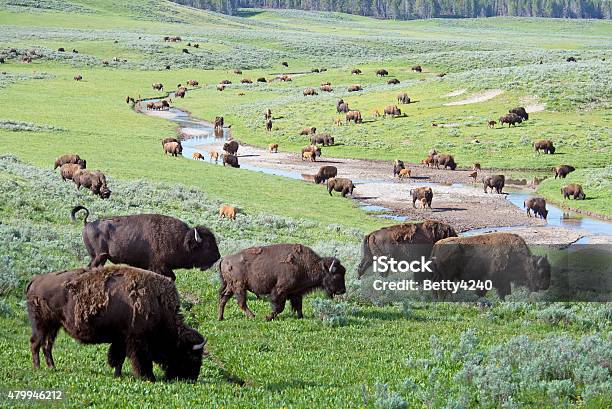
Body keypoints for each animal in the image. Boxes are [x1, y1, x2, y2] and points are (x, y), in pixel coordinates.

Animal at [26, 262, 206, 380]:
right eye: (192, 356)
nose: (191, 378)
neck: (159, 305)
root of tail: (35, 280)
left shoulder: (121, 339)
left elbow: (118, 358)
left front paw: (118, 374)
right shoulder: (136, 340)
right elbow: (138, 360)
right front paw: (148, 377)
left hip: (54, 326)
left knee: (47, 345)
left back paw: (52, 367)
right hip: (41, 325)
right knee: (35, 343)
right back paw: (37, 368)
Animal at [70, 206, 221, 278]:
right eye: (207, 246)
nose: (218, 256)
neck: (180, 240)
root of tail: (88, 223)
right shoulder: (160, 266)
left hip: (99, 258)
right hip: (99, 257)